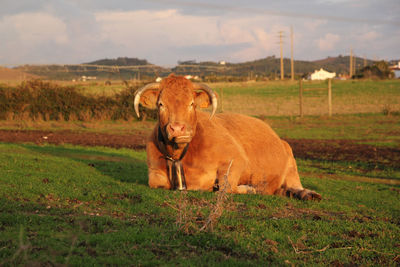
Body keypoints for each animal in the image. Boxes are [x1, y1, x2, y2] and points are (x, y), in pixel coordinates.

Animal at [134, 74, 322, 201]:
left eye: (192, 104)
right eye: (161, 104)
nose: (178, 129)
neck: (181, 156)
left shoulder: (237, 159)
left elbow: (226, 187)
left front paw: (249, 189)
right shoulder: (154, 169)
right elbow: (156, 182)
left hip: (290, 157)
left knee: (295, 182)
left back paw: (307, 193)